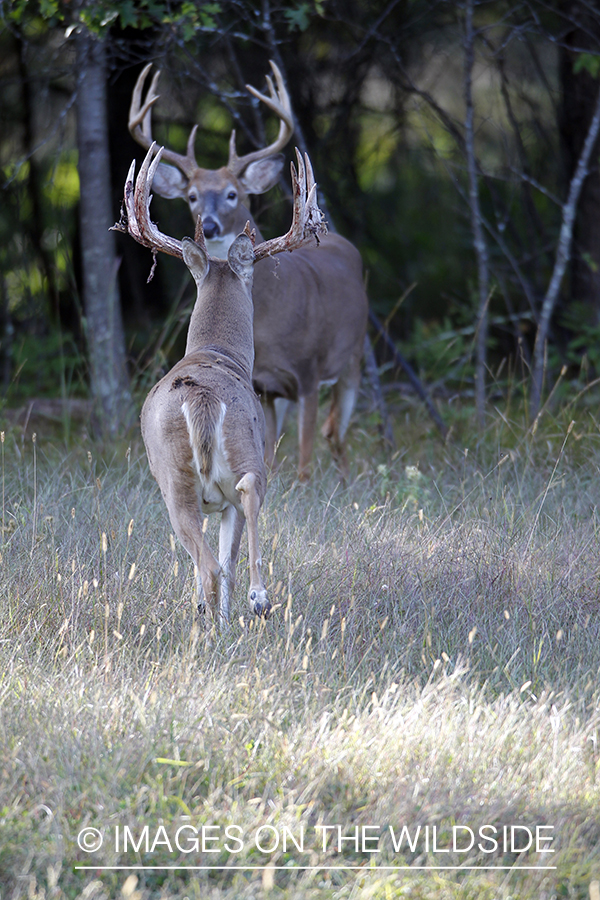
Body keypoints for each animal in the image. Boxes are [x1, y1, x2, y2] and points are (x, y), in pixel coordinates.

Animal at [114, 144, 326, 628]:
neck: (216, 350)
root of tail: (202, 399)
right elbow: (226, 558)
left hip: (174, 483)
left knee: (206, 560)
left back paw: (221, 616)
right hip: (232, 455)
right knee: (234, 522)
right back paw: (256, 600)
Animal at [129, 59, 368, 482]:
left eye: (232, 194)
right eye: (191, 196)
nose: (208, 226)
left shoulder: (309, 374)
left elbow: (305, 458)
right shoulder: (265, 386)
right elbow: (272, 458)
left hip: (353, 357)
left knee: (334, 431)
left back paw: (344, 479)